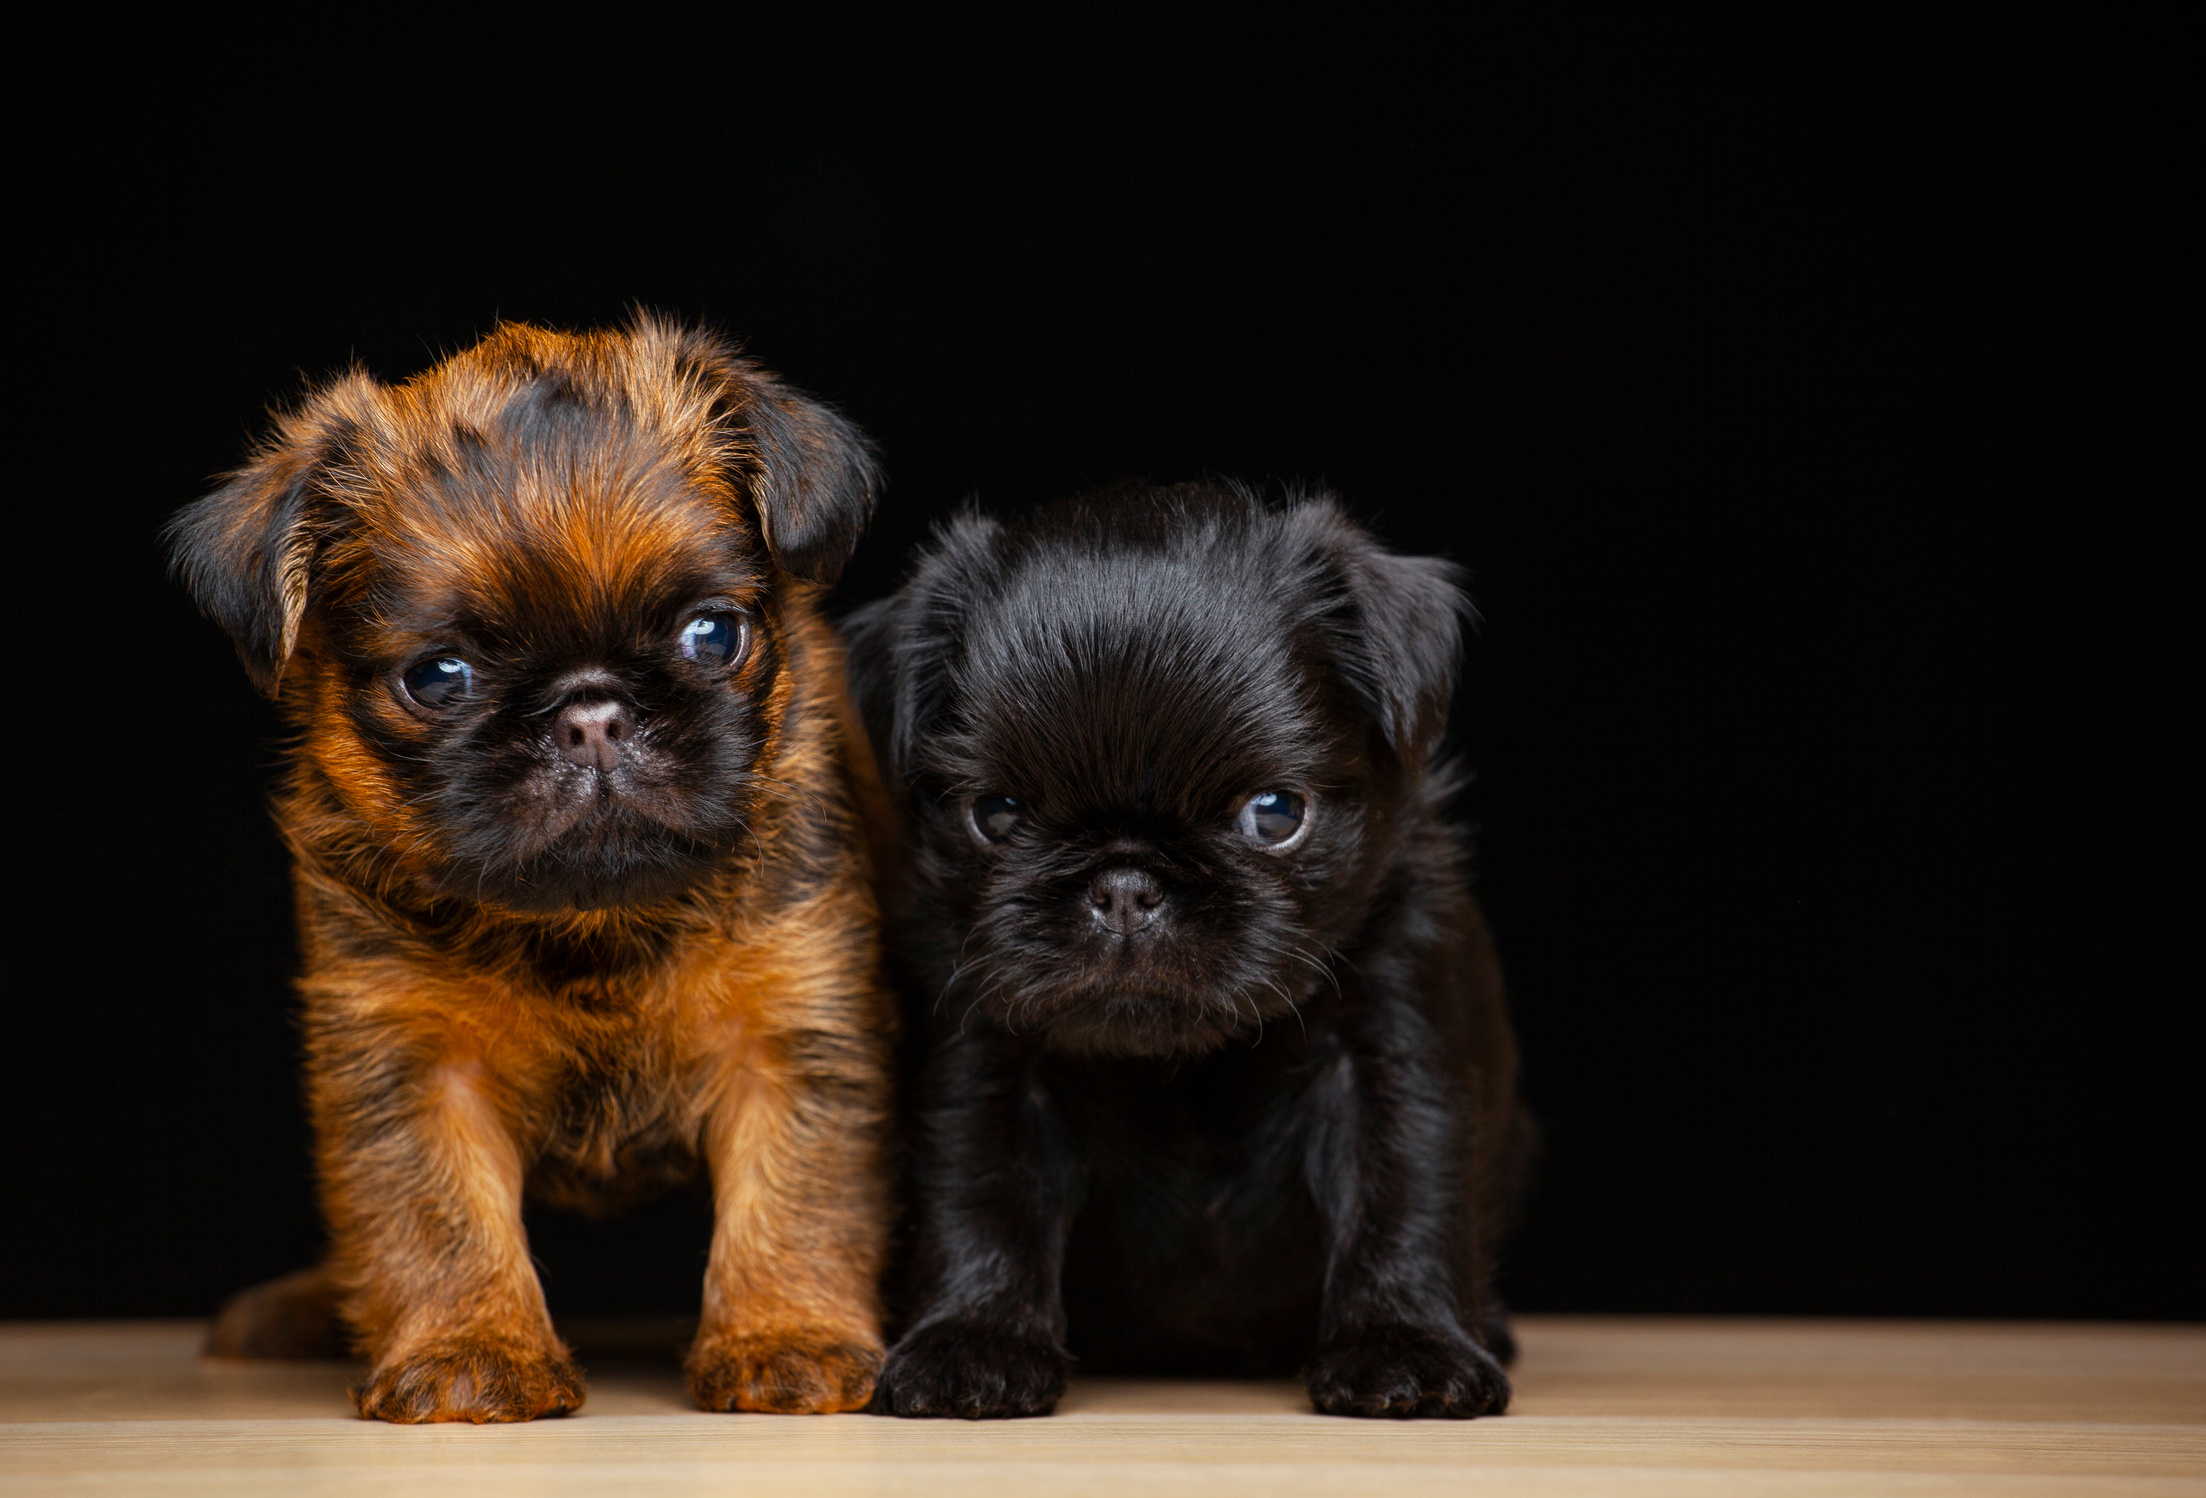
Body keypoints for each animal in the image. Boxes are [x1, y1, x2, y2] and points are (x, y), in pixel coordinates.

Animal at [169, 319, 895, 1429]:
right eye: (437, 678)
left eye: (712, 634)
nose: (590, 711)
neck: (589, 926)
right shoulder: (410, 1064)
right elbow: (433, 1220)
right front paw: (469, 1348)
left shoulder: (791, 1036)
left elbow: (795, 1198)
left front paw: (787, 1334)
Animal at [847, 480, 1535, 1420]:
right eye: (996, 814)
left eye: (1275, 814)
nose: (1126, 886)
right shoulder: (987, 1069)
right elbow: (982, 1197)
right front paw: (971, 1339)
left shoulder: (1394, 1055)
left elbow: (1404, 1197)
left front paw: (1407, 1345)